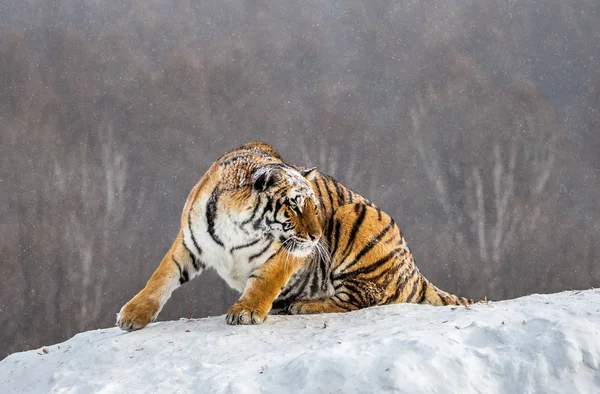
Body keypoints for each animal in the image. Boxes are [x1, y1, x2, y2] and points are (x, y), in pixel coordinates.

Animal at [117, 142, 474, 330]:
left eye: (315, 207)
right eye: (295, 205)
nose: (317, 237)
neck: (236, 227)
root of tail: (415, 271)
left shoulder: (287, 252)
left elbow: (264, 281)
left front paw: (246, 311)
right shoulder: (189, 243)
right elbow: (160, 278)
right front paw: (133, 315)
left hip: (355, 217)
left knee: (361, 299)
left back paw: (301, 306)